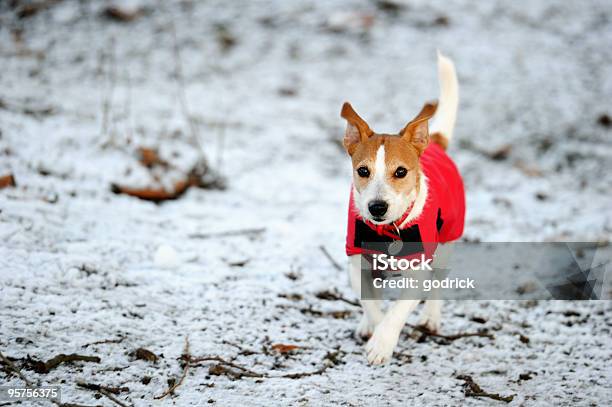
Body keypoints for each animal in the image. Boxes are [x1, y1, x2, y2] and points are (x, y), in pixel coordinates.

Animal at [340, 51, 464, 366]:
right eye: (363, 170)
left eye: (400, 172)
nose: (377, 207)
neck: (388, 231)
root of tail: (435, 143)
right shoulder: (356, 263)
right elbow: (370, 302)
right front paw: (373, 326)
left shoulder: (418, 271)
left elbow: (398, 310)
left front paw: (382, 343)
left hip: (447, 243)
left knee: (438, 284)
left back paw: (430, 318)